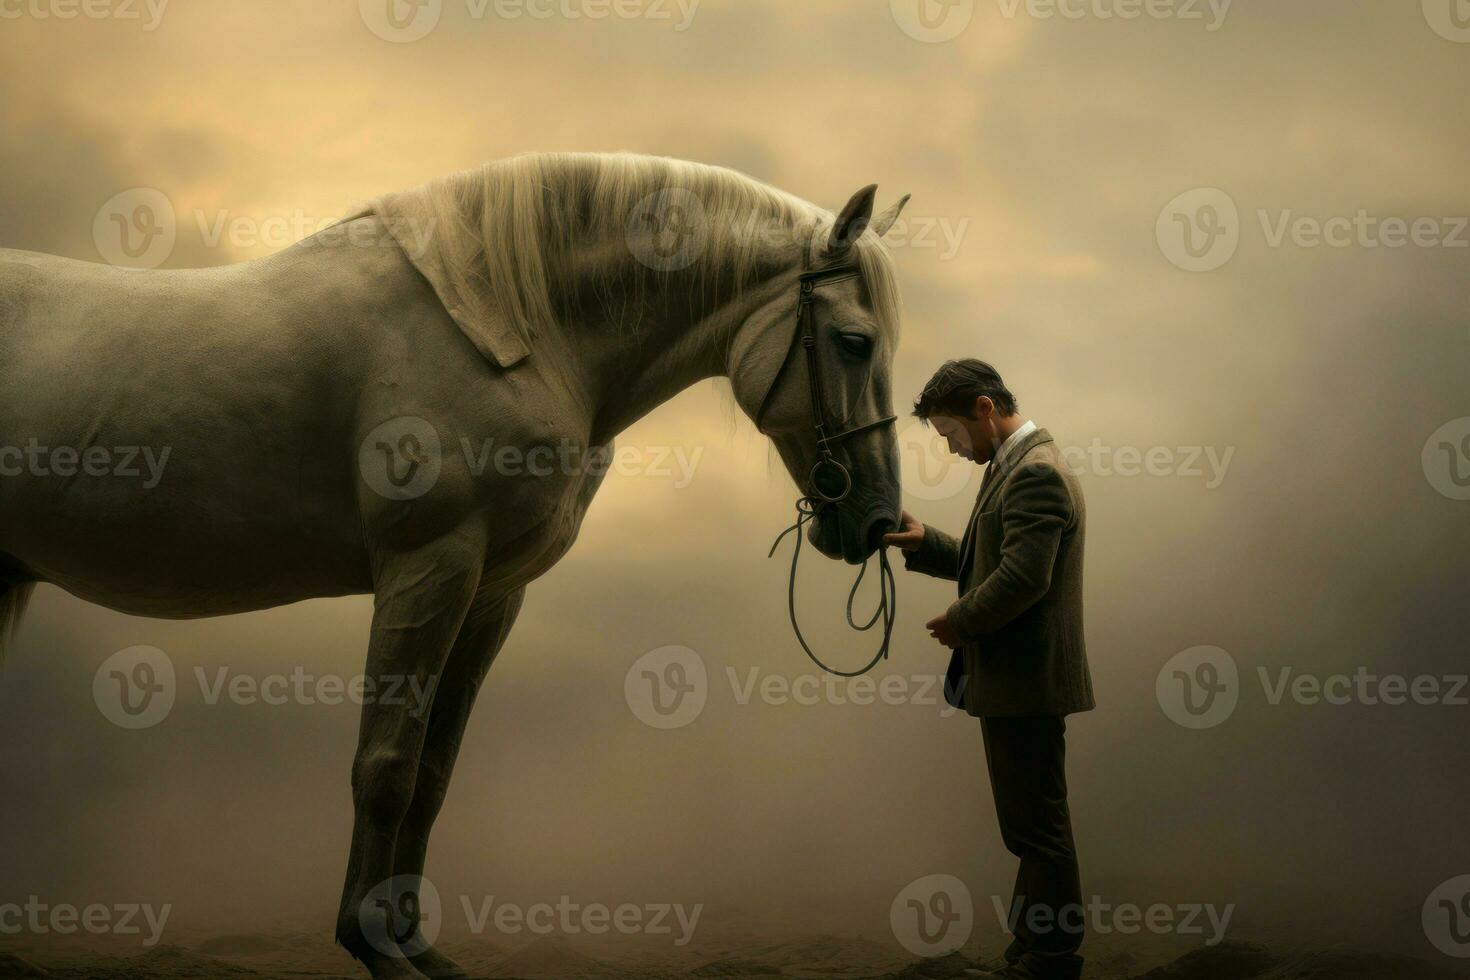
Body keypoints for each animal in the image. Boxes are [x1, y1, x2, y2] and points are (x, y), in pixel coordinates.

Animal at [0, 153, 911, 980]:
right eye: (855, 342)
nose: (877, 520)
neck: (515, 334)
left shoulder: (491, 594)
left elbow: (434, 774)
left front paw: (414, 944)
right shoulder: (428, 568)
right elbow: (387, 766)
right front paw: (373, 946)